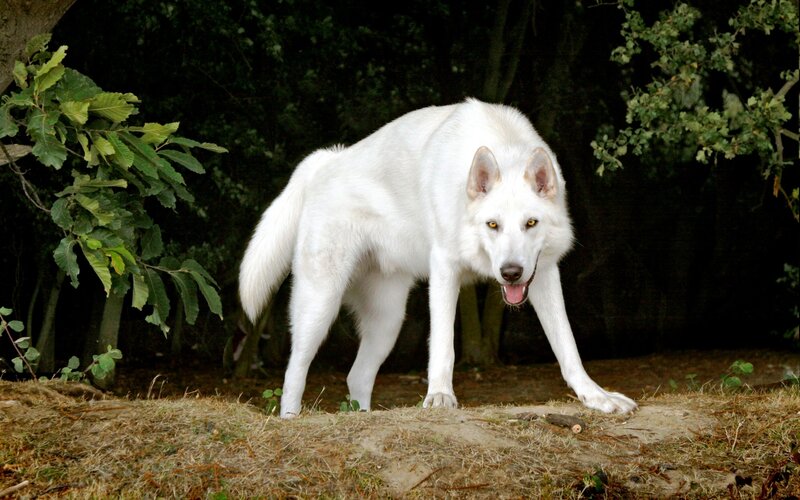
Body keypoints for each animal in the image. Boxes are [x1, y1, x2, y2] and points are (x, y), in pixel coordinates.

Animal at [239, 98, 637, 418]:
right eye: (493, 225)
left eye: (530, 223)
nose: (510, 273)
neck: (501, 144)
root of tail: (326, 160)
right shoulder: (445, 269)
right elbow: (443, 346)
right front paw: (440, 398)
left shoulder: (544, 274)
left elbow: (568, 347)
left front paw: (596, 397)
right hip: (320, 307)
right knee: (294, 371)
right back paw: (291, 419)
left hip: (387, 322)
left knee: (357, 376)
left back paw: (362, 417)